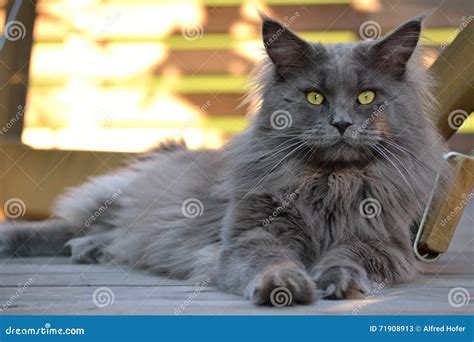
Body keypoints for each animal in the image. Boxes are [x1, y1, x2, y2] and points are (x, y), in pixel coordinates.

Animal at [0, 16, 452, 304]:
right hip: (115, 196)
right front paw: (283, 285)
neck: (329, 183)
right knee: (66, 224)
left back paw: (91, 249)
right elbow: (268, 261)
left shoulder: (381, 244)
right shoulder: (252, 234)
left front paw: (338, 282)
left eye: (366, 96)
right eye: (314, 97)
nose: (341, 123)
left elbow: (347, 258)